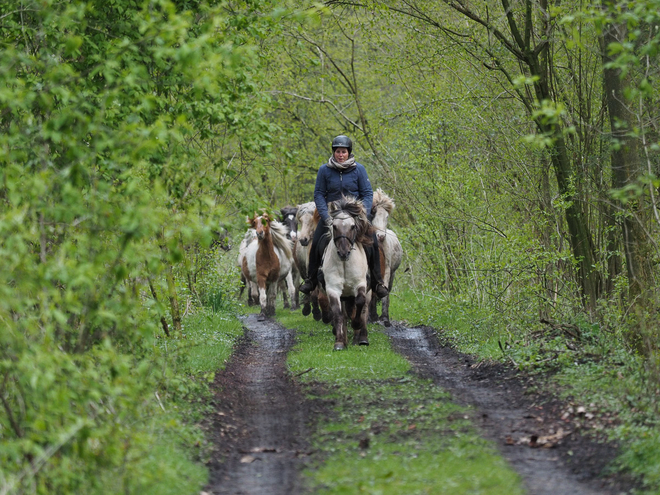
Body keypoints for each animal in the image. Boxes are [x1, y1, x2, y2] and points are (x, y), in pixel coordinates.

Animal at [320, 196, 374, 350]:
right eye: (334, 226)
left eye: (353, 226)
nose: (343, 252)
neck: (344, 263)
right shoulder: (333, 289)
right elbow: (338, 314)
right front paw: (339, 342)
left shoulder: (360, 284)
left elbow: (360, 303)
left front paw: (356, 325)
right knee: (344, 314)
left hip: (368, 291)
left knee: (364, 309)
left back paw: (361, 338)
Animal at [368, 188, 404, 328]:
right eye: (373, 215)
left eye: (387, 217)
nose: (381, 236)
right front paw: (371, 316)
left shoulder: (388, 269)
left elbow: (384, 289)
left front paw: (384, 318)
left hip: (393, 274)